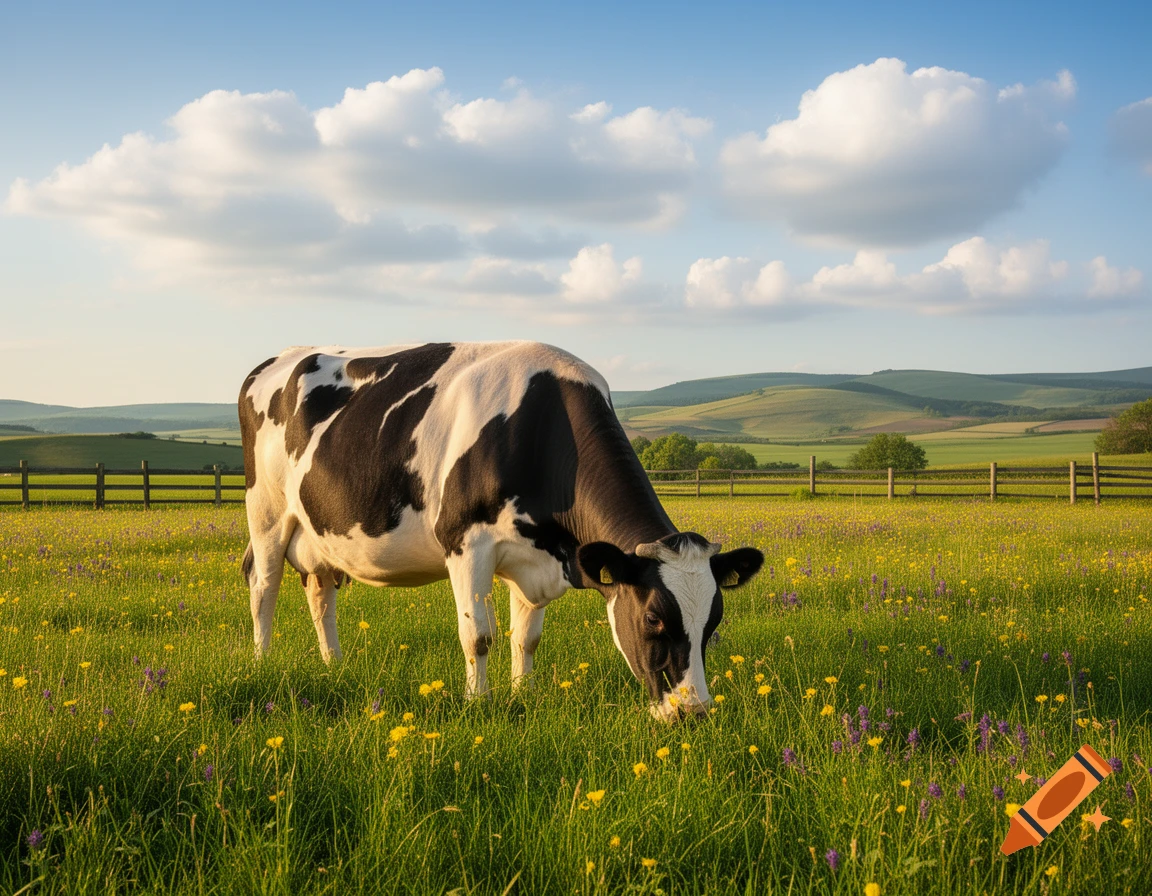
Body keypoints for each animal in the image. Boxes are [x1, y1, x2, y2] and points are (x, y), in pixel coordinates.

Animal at [238, 341, 763, 720]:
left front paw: (522, 695)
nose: (693, 712)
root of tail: (274, 359)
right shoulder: (466, 543)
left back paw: (334, 665)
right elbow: (479, 635)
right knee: (264, 586)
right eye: (654, 618)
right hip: (266, 511)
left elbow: (525, 638)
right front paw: (478, 704)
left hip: (317, 533)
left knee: (319, 594)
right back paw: (262, 662)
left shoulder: (535, 557)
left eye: (713, 622)